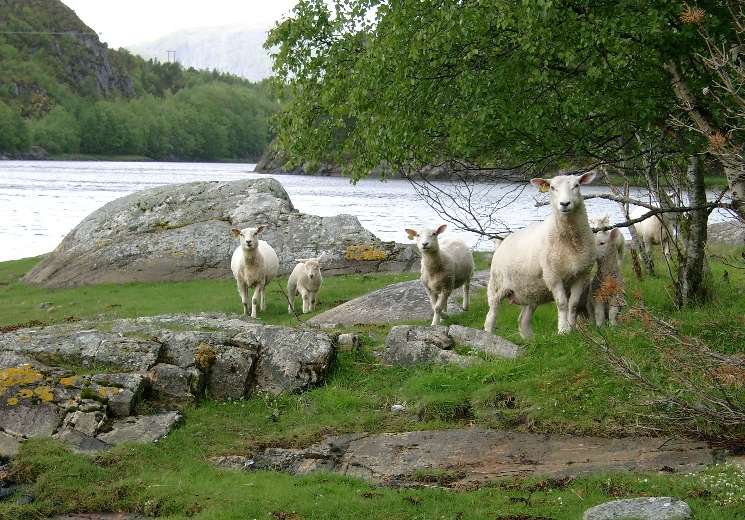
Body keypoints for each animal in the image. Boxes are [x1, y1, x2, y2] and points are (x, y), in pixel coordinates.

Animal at [482, 173, 600, 340]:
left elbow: (573, 304)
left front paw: (573, 329)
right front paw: (563, 331)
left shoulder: (582, 275)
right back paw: (489, 335)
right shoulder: (553, 276)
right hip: (497, 284)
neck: (571, 243)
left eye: (576, 185)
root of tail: (503, 241)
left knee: (523, 319)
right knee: (492, 312)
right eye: (552, 187)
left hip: (531, 291)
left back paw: (530, 341)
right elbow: (562, 303)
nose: (565, 204)